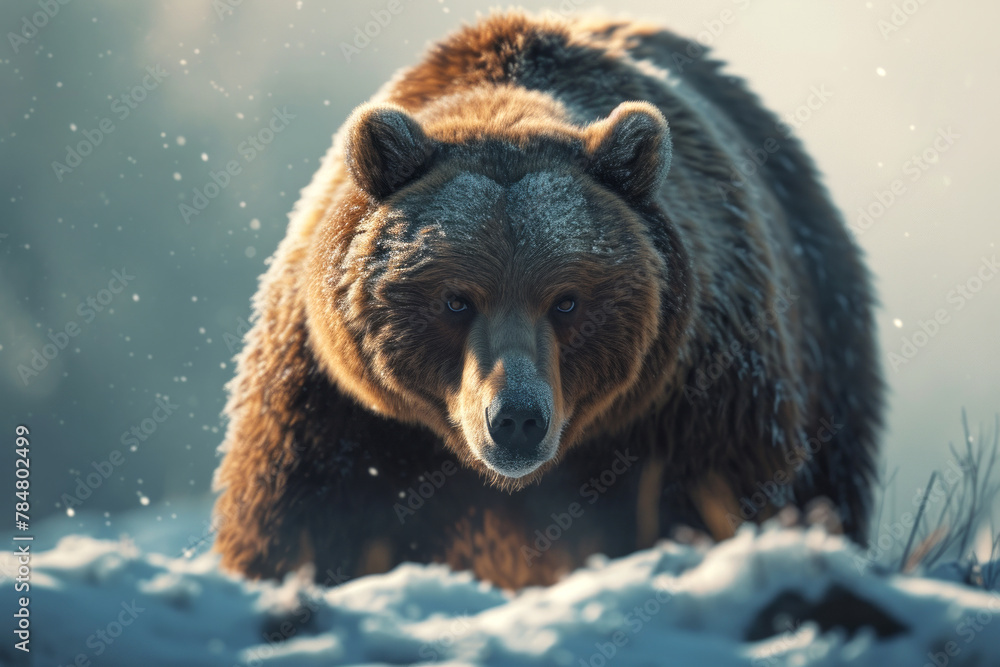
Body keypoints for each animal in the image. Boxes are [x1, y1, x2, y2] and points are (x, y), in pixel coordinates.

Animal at [212, 11, 883, 590]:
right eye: (456, 300)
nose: (516, 419)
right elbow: (297, 524)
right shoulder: (337, 410)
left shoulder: (694, 398)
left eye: (566, 301)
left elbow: (717, 497)